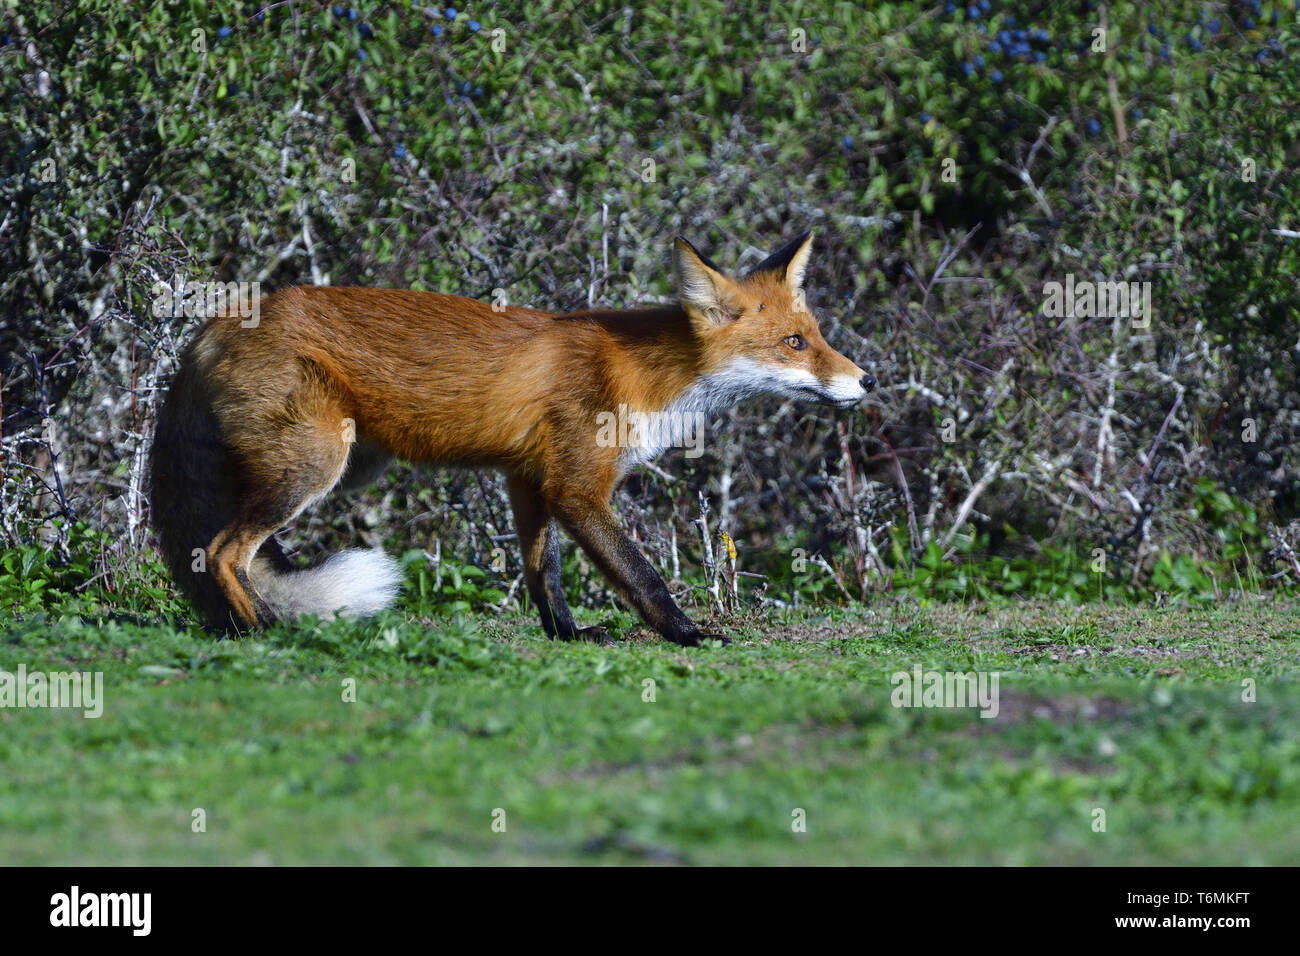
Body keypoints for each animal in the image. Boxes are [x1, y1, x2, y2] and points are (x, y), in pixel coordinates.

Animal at [149, 231, 875, 646]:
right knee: (221, 552)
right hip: (316, 466)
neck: (645, 373)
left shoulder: (528, 477)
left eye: (815, 336)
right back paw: (266, 633)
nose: (867, 380)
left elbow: (541, 571)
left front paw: (569, 636)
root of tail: (218, 323)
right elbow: (641, 575)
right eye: (795, 343)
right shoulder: (577, 486)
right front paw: (690, 634)